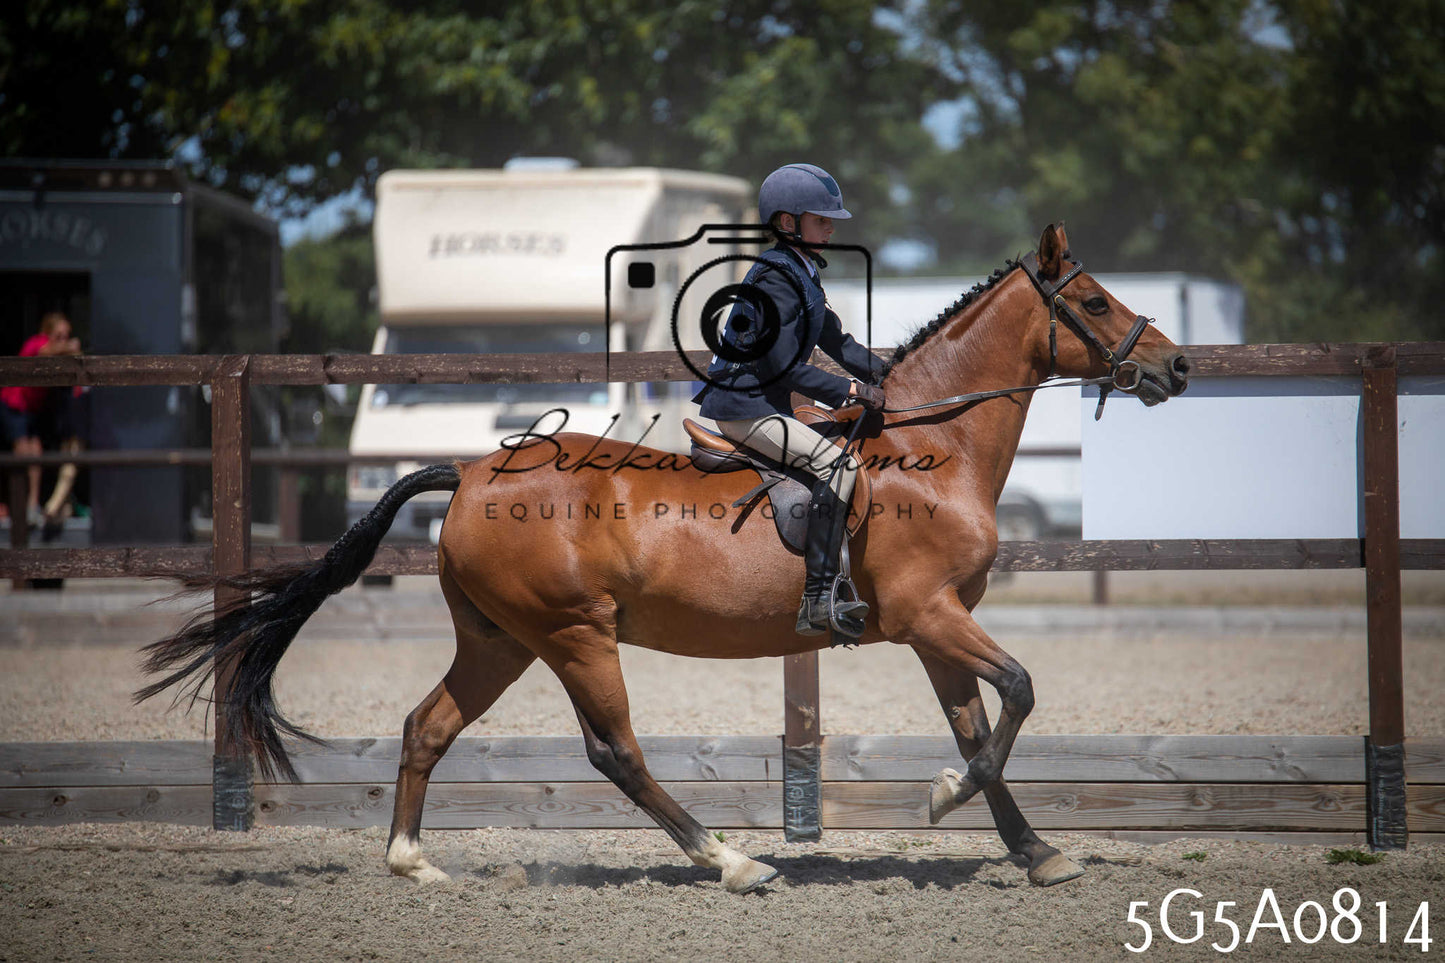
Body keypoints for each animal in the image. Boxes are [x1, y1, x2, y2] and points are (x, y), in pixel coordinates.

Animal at [138, 223, 1190, 894]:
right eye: (1092, 300)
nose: (1175, 367)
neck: (927, 453)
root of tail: (472, 471)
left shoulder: (936, 627)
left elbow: (980, 725)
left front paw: (1035, 851)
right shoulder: (930, 614)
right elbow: (1016, 691)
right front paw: (944, 798)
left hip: (499, 640)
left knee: (425, 725)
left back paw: (412, 861)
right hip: (575, 635)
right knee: (615, 751)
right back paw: (732, 861)